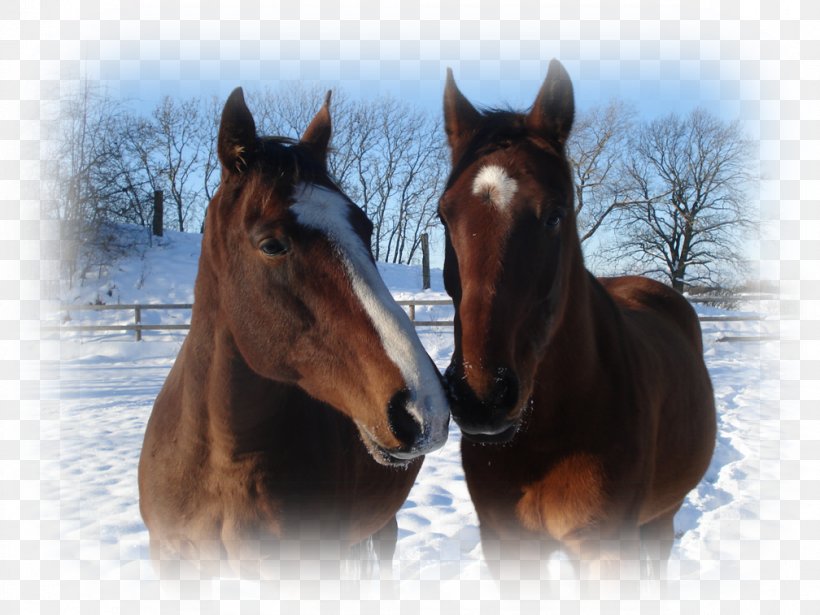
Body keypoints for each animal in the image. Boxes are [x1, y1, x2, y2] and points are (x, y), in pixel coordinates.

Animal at [438, 60, 716, 580]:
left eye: (555, 215)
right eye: (444, 215)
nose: (482, 397)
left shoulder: (607, 552)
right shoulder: (507, 549)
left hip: (659, 524)